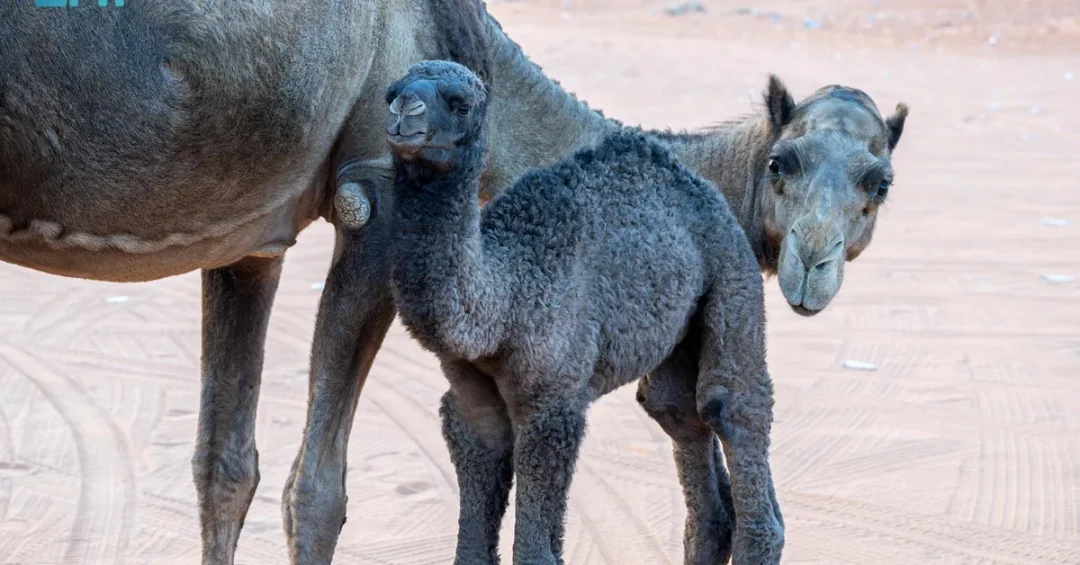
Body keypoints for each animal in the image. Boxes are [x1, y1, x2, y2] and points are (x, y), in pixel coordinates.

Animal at [0, 1, 906, 563]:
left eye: (879, 183)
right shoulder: (374, 193)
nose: (813, 263)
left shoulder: (248, 235)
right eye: (783, 163)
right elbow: (316, 490)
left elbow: (225, 467)